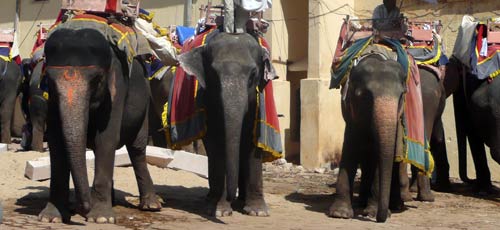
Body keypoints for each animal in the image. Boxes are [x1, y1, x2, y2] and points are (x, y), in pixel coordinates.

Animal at [39, 23, 160, 223]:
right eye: (49, 79)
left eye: (97, 80)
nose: (81, 209)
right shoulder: (52, 99)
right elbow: (56, 140)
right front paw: (50, 218)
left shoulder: (117, 88)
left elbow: (106, 138)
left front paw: (101, 218)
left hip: (146, 104)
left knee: (137, 149)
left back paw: (151, 205)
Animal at [180, 32, 274, 217]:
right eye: (213, 74)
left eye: (253, 74)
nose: (231, 197)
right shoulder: (208, 101)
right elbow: (216, 142)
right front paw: (219, 211)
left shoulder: (256, 106)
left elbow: (253, 141)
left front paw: (258, 212)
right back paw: (214, 200)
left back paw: (242, 202)